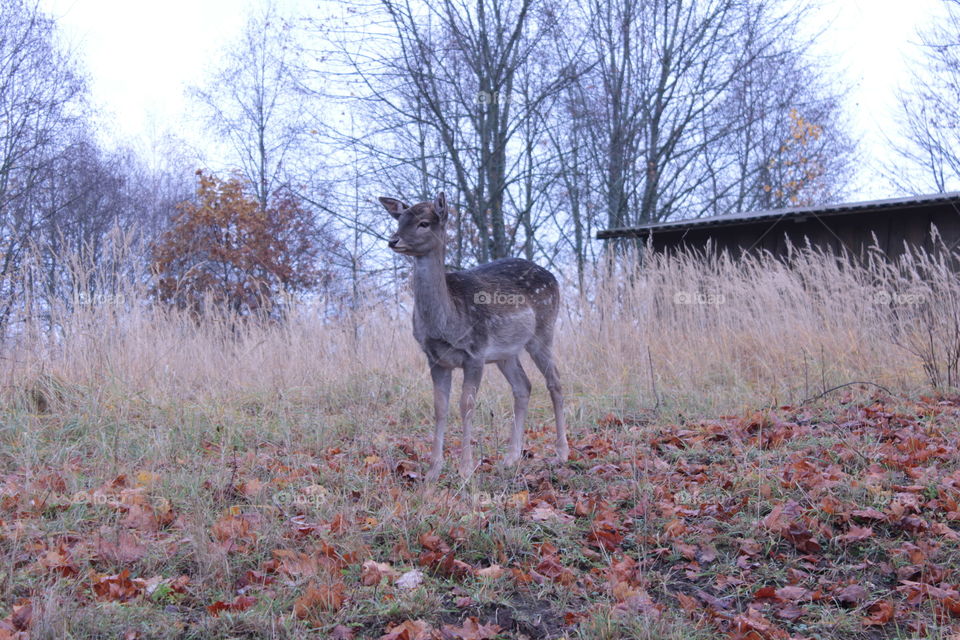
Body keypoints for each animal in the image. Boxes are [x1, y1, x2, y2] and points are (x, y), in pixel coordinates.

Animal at [380, 192, 569, 482]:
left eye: (424, 223)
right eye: (400, 220)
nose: (393, 240)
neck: (446, 321)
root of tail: (553, 277)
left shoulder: (475, 353)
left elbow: (466, 405)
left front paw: (466, 468)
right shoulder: (435, 359)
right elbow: (440, 408)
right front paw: (433, 471)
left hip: (543, 331)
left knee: (555, 382)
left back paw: (561, 452)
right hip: (506, 352)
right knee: (523, 386)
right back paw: (511, 458)